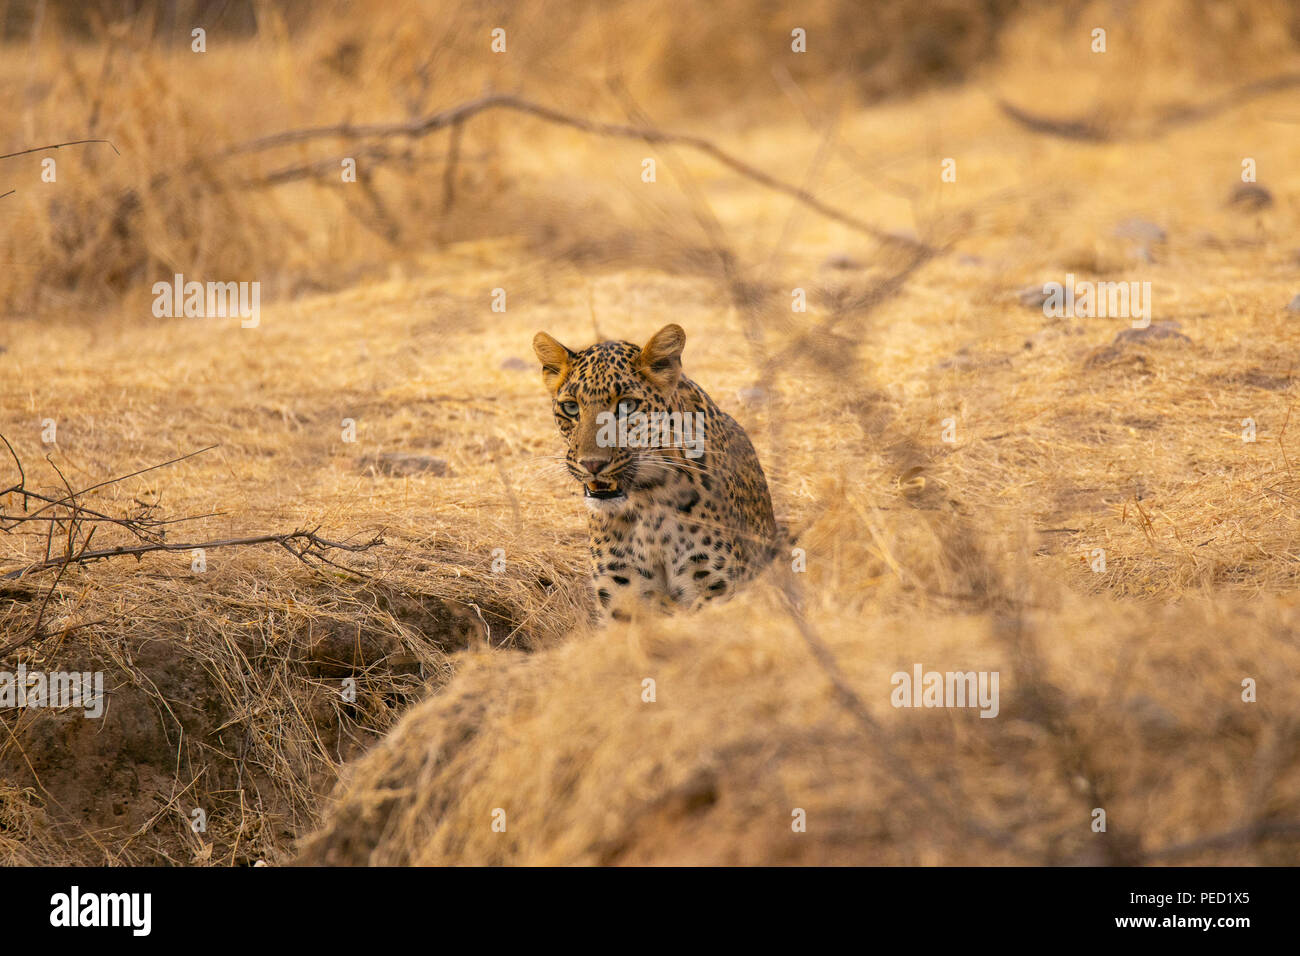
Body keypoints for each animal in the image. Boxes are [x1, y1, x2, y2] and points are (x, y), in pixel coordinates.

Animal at [530, 325, 774, 624]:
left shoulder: (716, 584)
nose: (592, 464)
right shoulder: (621, 592)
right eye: (571, 407)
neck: (648, 502)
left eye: (627, 406)